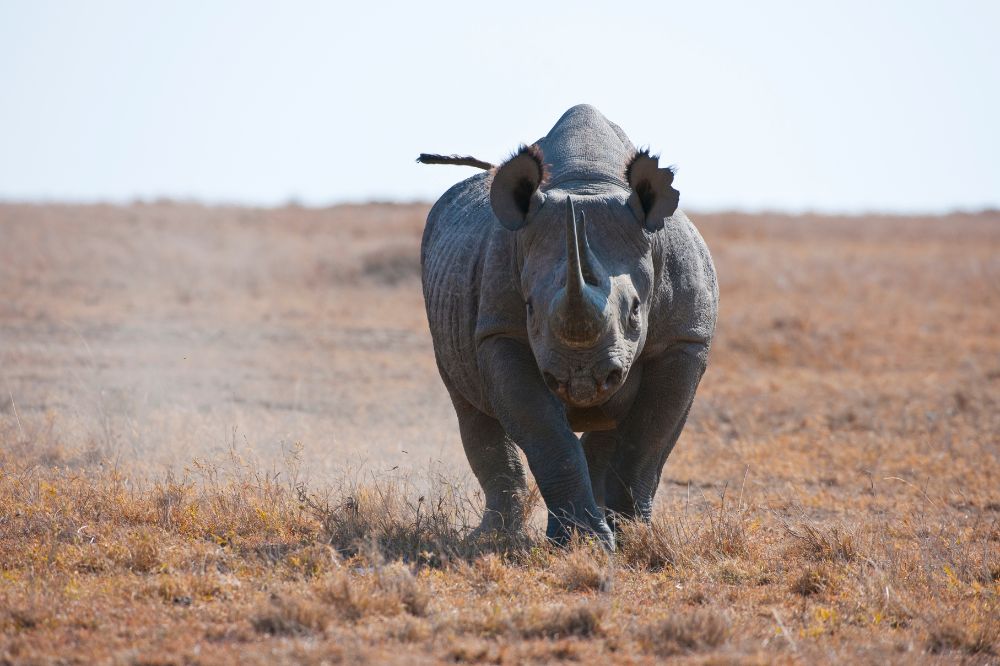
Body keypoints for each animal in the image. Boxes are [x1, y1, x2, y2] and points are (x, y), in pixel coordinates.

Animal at [418, 104, 718, 548]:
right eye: (529, 309)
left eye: (635, 311)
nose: (582, 379)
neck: (590, 184)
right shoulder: (501, 332)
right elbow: (546, 435)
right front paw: (586, 544)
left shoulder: (685, 339)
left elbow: (648, 438)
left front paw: (632, 538)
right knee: (470, 407)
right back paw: (492, 538)